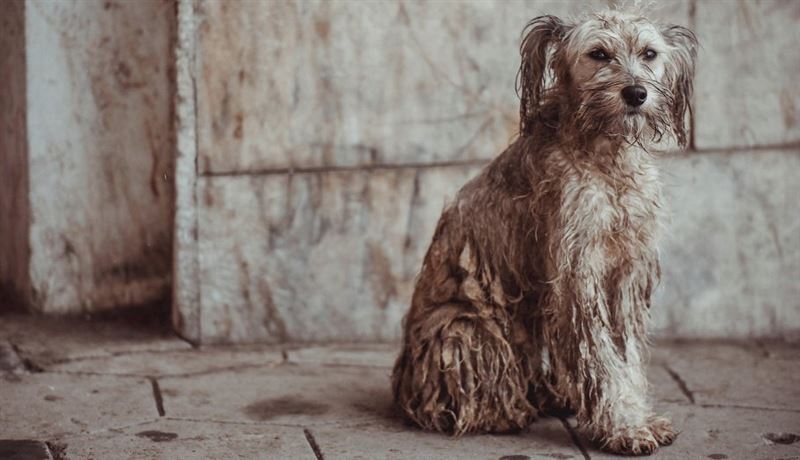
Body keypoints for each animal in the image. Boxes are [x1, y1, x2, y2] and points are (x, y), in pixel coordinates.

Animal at [390, 6, 696, 456]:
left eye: (649, 53)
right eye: (598, 53)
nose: (636, 93)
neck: (606, 161)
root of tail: (401, 389)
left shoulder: (625, 274)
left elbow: (627, 356)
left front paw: (636, 416)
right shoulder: (578, 276)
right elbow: (602, 358)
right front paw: (625, 426)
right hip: (466, 329)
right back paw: (504, 413)